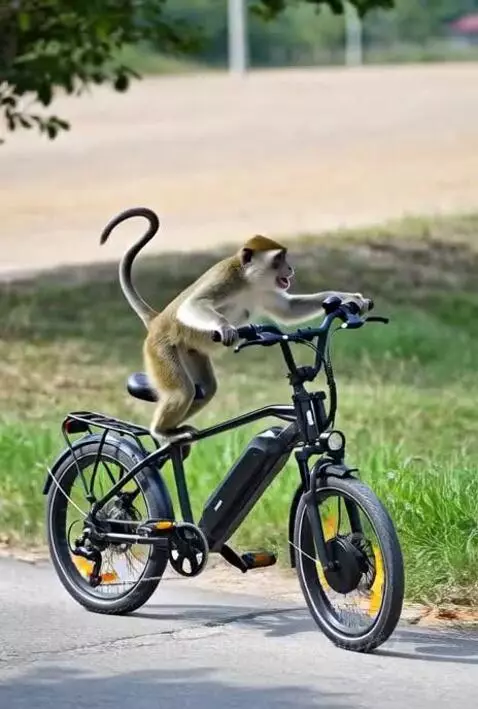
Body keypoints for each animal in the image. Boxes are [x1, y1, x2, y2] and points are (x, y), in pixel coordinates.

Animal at [100, 207, 371, 448]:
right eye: (279, 259)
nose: (291, 269)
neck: (249, 279)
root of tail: (157, 320)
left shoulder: (263, 289)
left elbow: (288, 309)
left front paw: (348, 299)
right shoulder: (226, 278)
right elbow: (192, 305)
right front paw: (225, 327)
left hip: (190, 350)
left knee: (206, 389)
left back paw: (173, 428)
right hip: (161, 349)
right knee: (182, 392)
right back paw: (162, 432)